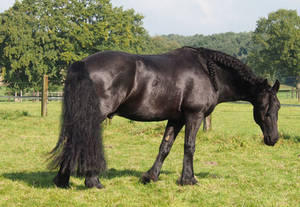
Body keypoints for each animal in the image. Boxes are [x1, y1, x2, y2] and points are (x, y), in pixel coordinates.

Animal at [48, 47, 280, 189]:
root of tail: (82, 63)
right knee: (84, 140)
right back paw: (92, 180)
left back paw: (62, 180)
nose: (274, 138)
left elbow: (165, 147)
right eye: (267, 108)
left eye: (278, 107)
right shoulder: (194, 116)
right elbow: (189, 147)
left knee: (72, 141)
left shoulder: (176, 119)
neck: (209, 72)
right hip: (95, 116)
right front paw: (189, 179)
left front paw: (150, 176)